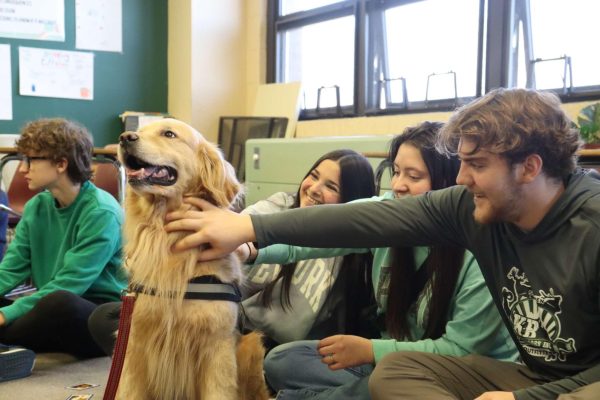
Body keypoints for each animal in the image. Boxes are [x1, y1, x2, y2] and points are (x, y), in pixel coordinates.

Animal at [115, 119, 270, 400]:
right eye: (140, 131)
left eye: (169, 134)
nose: (125, 137)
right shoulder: (133, 343)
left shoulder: (218, 348)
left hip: (251, 344)